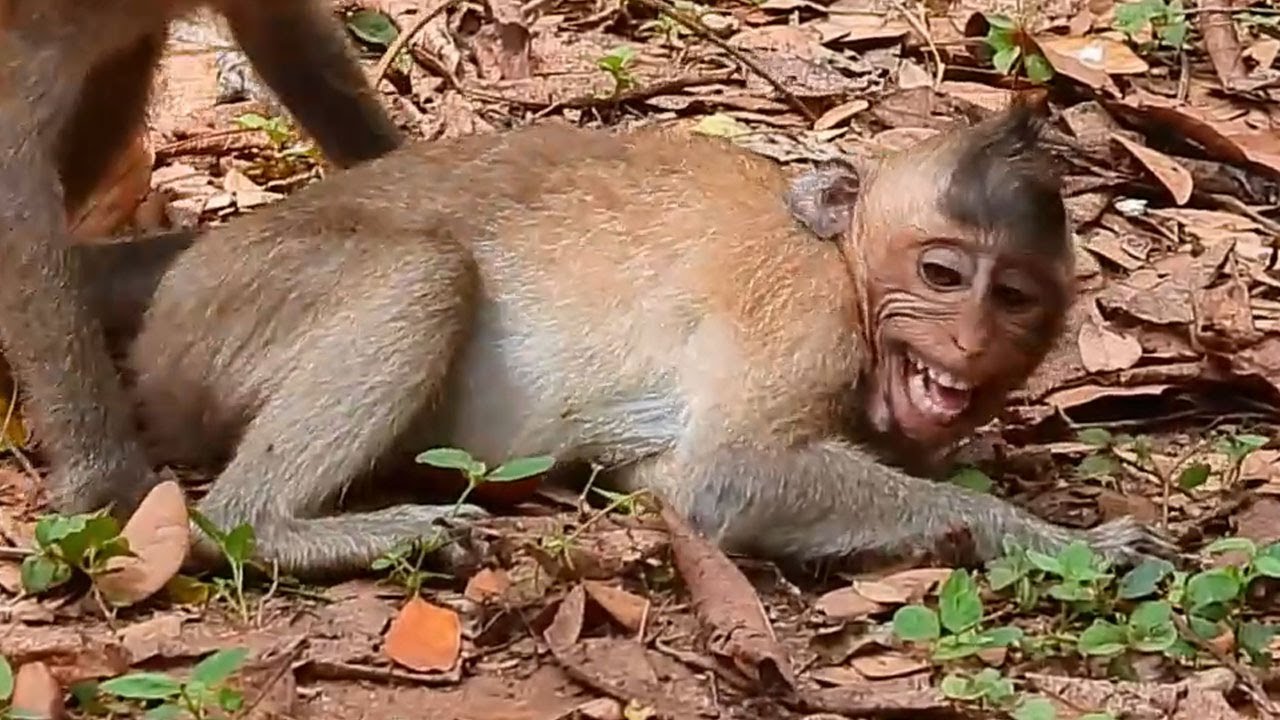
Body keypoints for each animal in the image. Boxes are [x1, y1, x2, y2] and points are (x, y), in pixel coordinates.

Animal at [74, 103, 1174, 580]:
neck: (849, 264)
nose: (969, 336)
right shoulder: (806, 311)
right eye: (943, 275)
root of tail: (197, 255)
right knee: (421, 275)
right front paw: (1066, 542)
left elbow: (675, 479)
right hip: (227, 310)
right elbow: (729, 477)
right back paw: (270, 528)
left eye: (1013, 296)